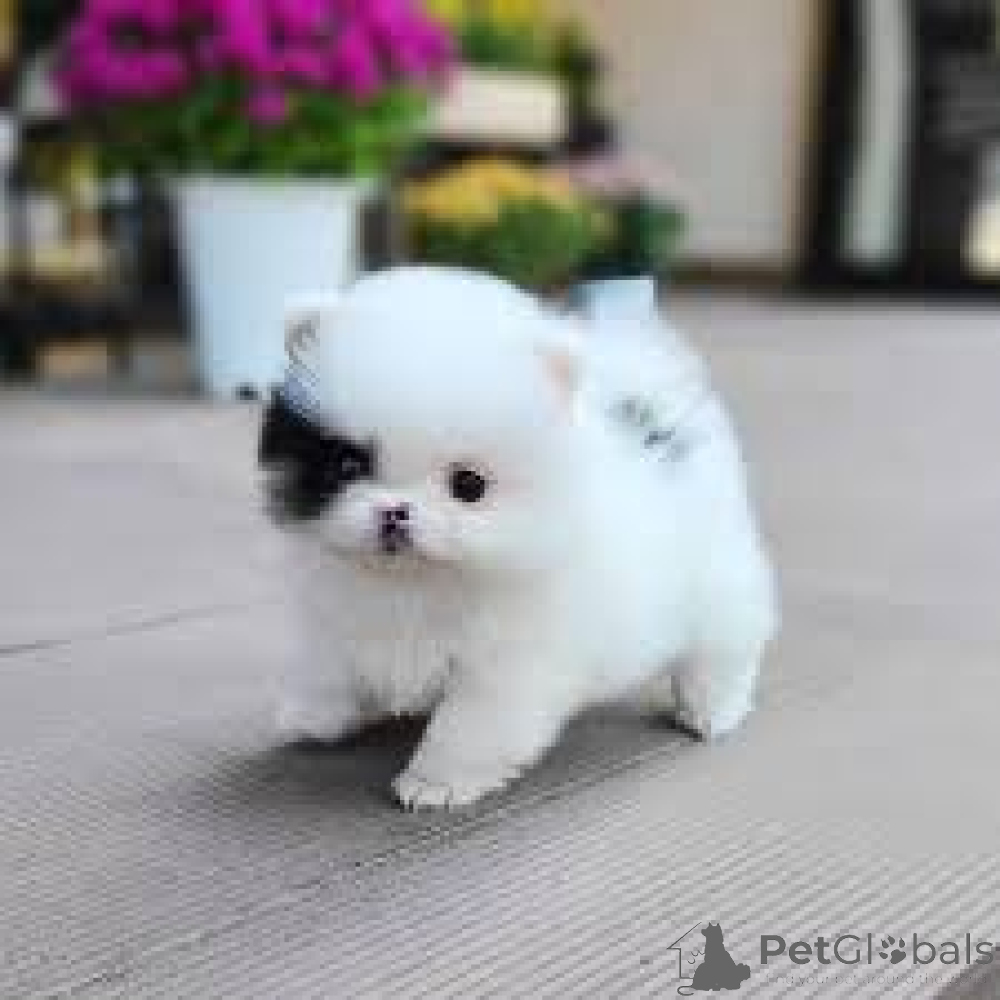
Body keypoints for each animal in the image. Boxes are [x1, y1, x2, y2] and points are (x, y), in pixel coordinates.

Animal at [259, 266, 776, 810]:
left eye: (468, 485)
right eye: (347, 465)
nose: (396, 512)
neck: (416, 583)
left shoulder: (506, 665)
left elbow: (468, 725)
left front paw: (436, 781)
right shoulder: (333, 614)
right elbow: (327, 666)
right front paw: (313, 716)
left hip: (717, 582)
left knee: (724, 647)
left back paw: (712, 710)